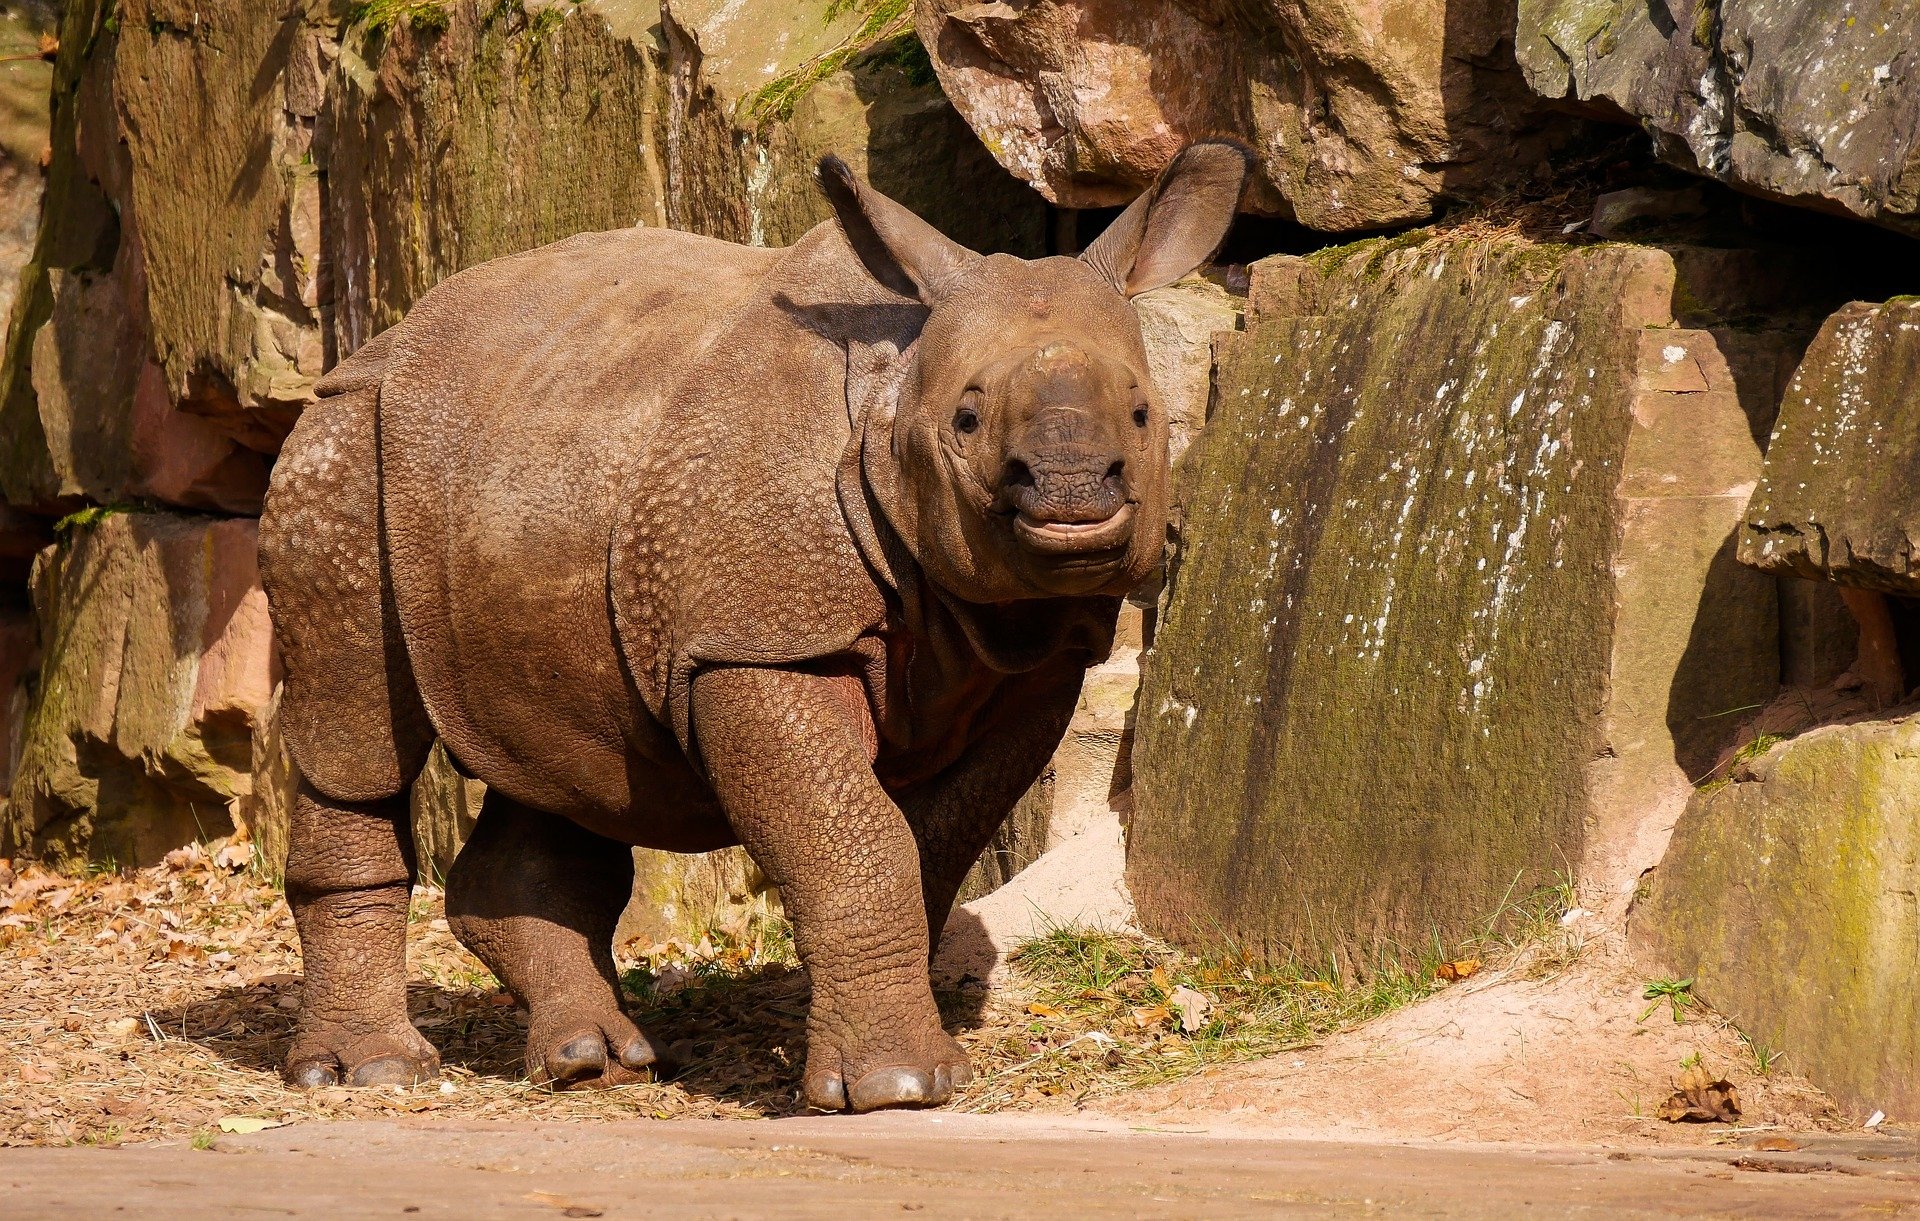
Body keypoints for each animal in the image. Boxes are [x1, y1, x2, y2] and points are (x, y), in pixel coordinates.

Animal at [258, 141, 1248, 1112]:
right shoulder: (754, 640)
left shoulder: (1032, 666)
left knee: (553, 755)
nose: (1071, 491)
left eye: (1144, 414)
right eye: (965, 419)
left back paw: (594, 1063)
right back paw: (372, 1072)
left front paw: (885, 1048)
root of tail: (376, 345)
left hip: (530, 456)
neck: (894, 387)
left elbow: (919, 847)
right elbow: (856, 840)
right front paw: (895, 1088)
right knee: (353, 736)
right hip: (344, 448)